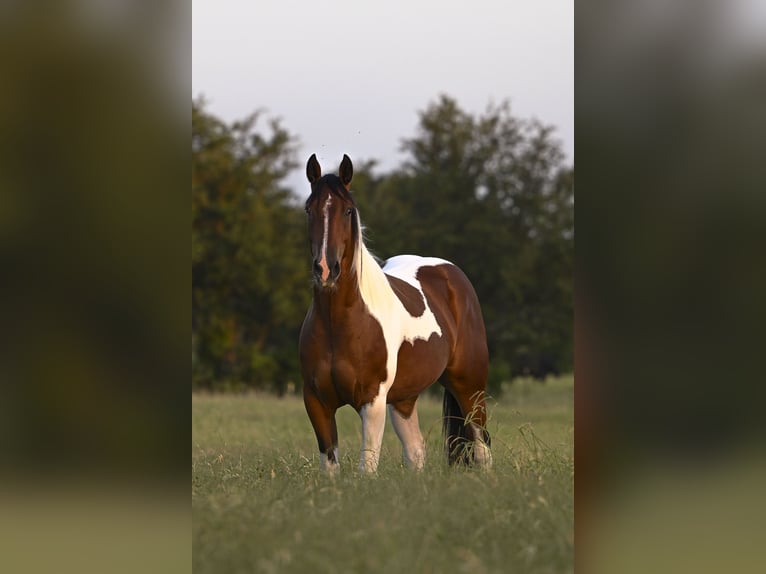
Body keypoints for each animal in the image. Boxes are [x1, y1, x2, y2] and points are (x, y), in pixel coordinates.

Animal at [299, 154, 492, 473]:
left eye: (348, 210)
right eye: (308, 209)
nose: (326, 269)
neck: (340, 324)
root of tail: (450, 274)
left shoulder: (373, 401)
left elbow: (367, 467)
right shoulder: (317, 402)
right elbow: (330, 467)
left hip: (470, 388)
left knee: (481, 447)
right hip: (404, 400)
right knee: (416, 451)